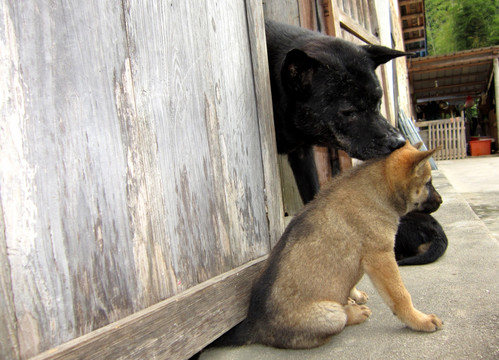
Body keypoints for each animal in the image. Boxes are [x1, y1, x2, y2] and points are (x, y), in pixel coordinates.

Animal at [217, 141, 444, 348]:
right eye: (428, 183)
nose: (441, 201)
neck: (381, 189)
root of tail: (254, 326)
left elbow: (351, 281)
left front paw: (355, 295)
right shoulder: (381, 257)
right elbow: (401, 296)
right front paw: (419, 320)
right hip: (331, 315)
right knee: (340, 320)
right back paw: (353, 313)